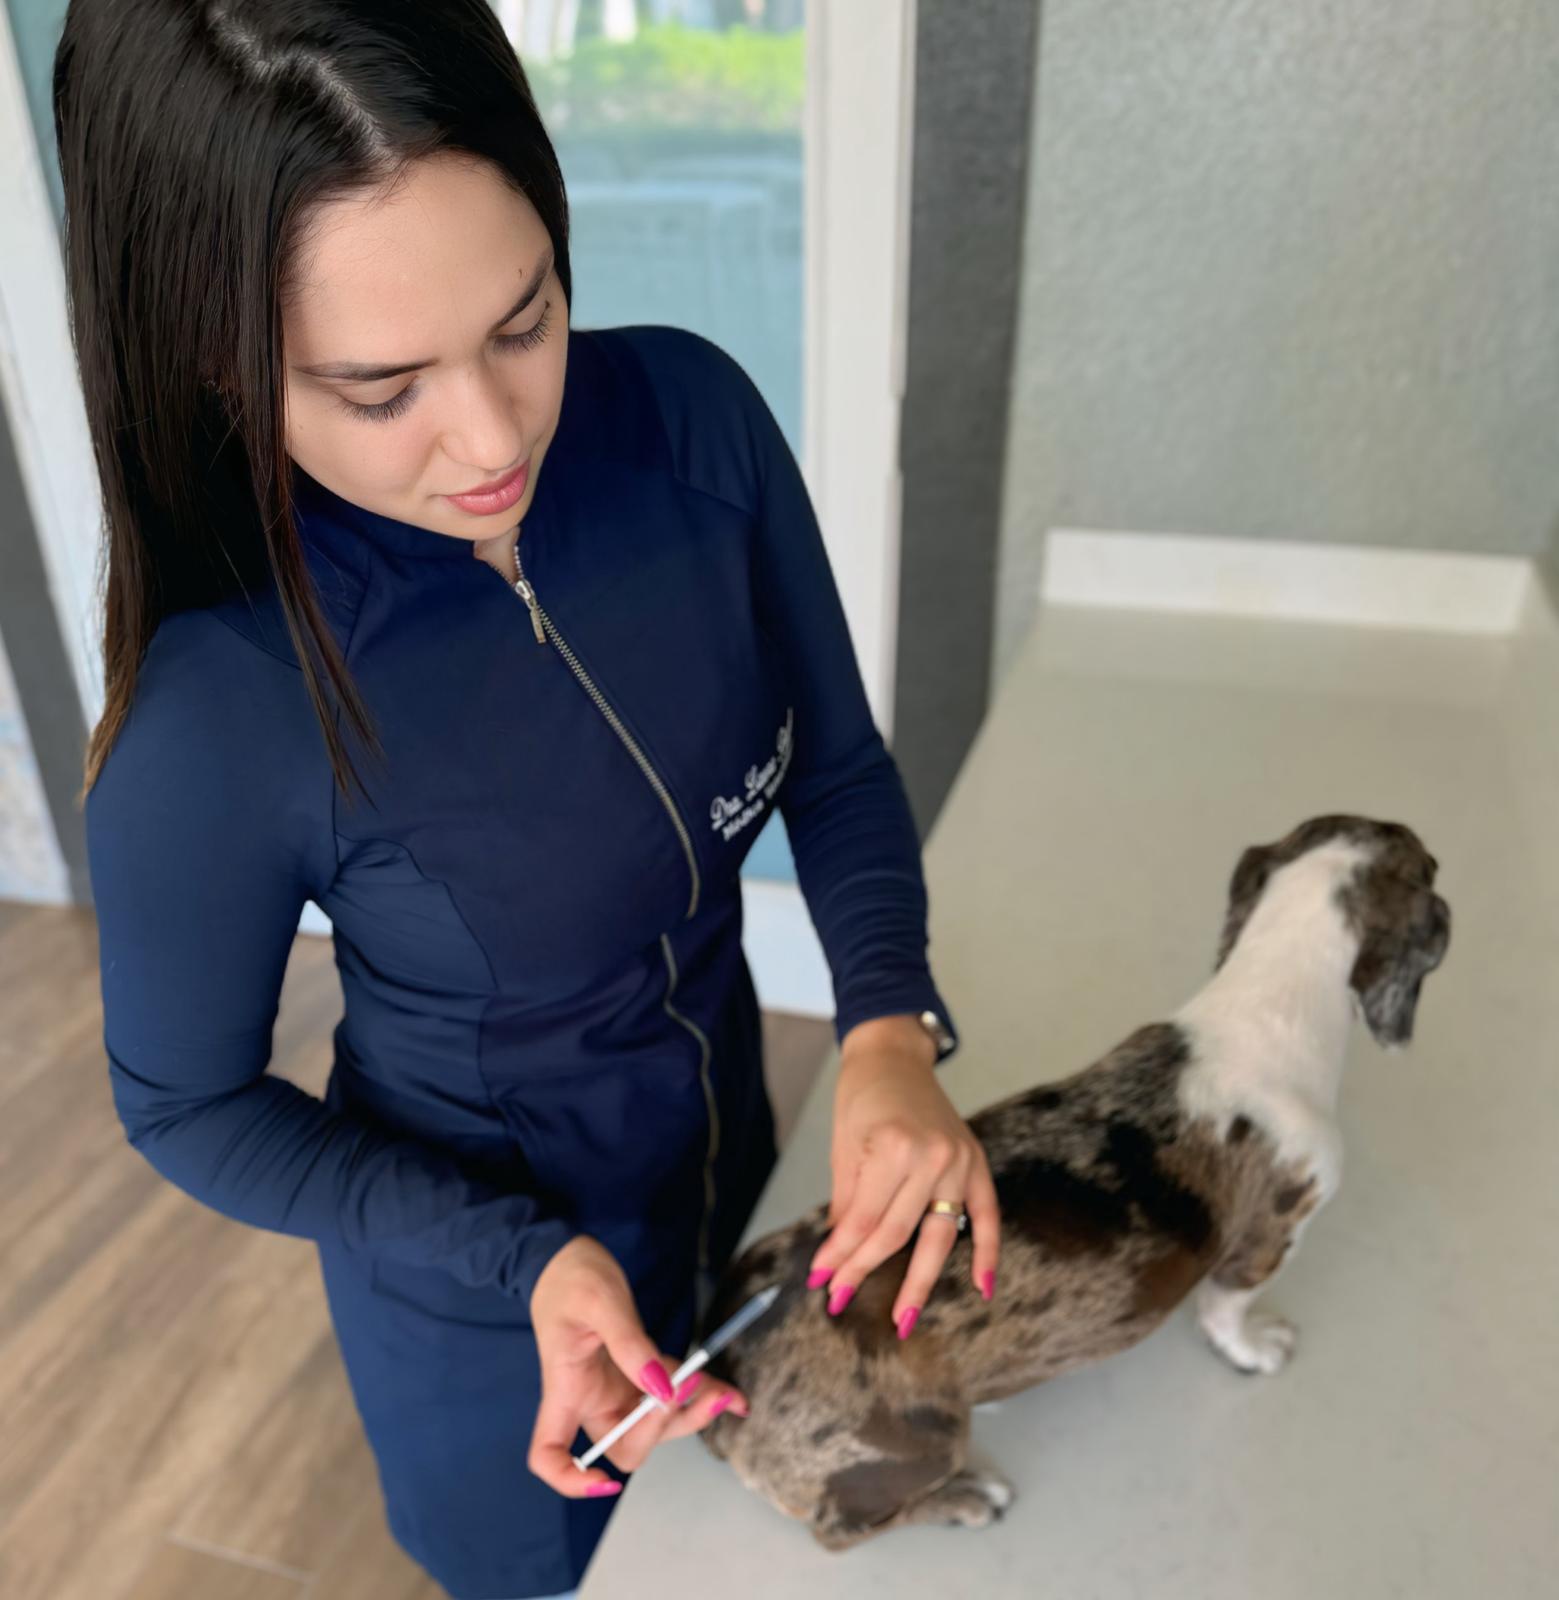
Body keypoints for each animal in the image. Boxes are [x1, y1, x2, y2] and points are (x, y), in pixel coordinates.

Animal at [698, 814, 1451, 1551]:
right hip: (919, 1447)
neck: (1269, 1006)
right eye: (1433, 865)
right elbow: (1227, 1311)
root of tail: (726, 1369)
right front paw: (1255, 1348)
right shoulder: (1273, 1236)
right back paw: (968, 1497)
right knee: (843, 1532)